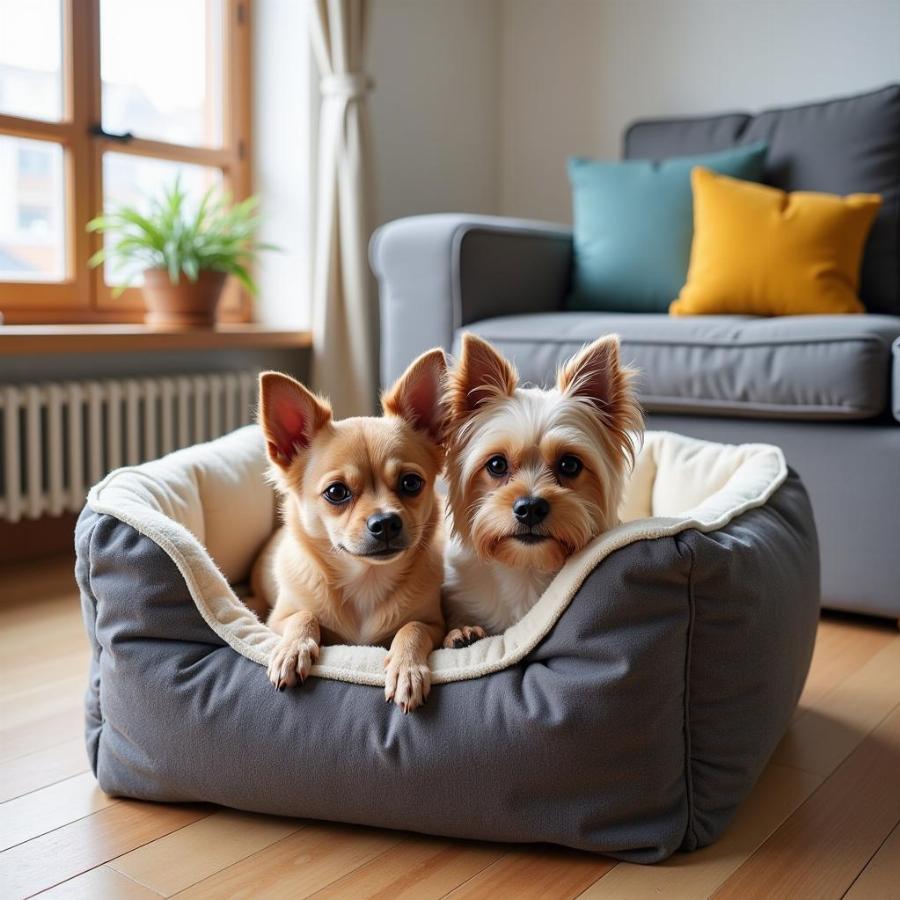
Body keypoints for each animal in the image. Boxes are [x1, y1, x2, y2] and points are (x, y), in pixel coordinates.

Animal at [251, 350, 448, 712]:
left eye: (411, 483)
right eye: (336, 492)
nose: (386, 522)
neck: (365, 579)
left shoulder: (433, 624)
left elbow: (412, 628)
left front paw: (407, 669)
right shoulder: (277, 620)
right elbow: (303, 617)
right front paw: (292, 650)